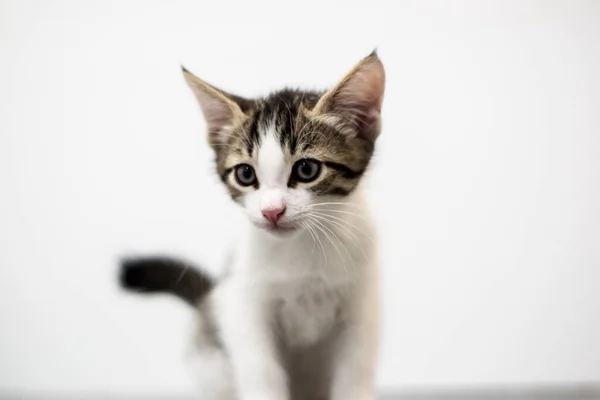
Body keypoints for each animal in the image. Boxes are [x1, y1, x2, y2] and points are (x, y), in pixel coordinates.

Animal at [119, 51, 386, 400]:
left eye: (307, 169)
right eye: (245, 174)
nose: (272, 211)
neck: (303, 252)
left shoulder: (361, 306)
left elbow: (354, 371)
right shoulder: (245, 304)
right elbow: (261, 372)